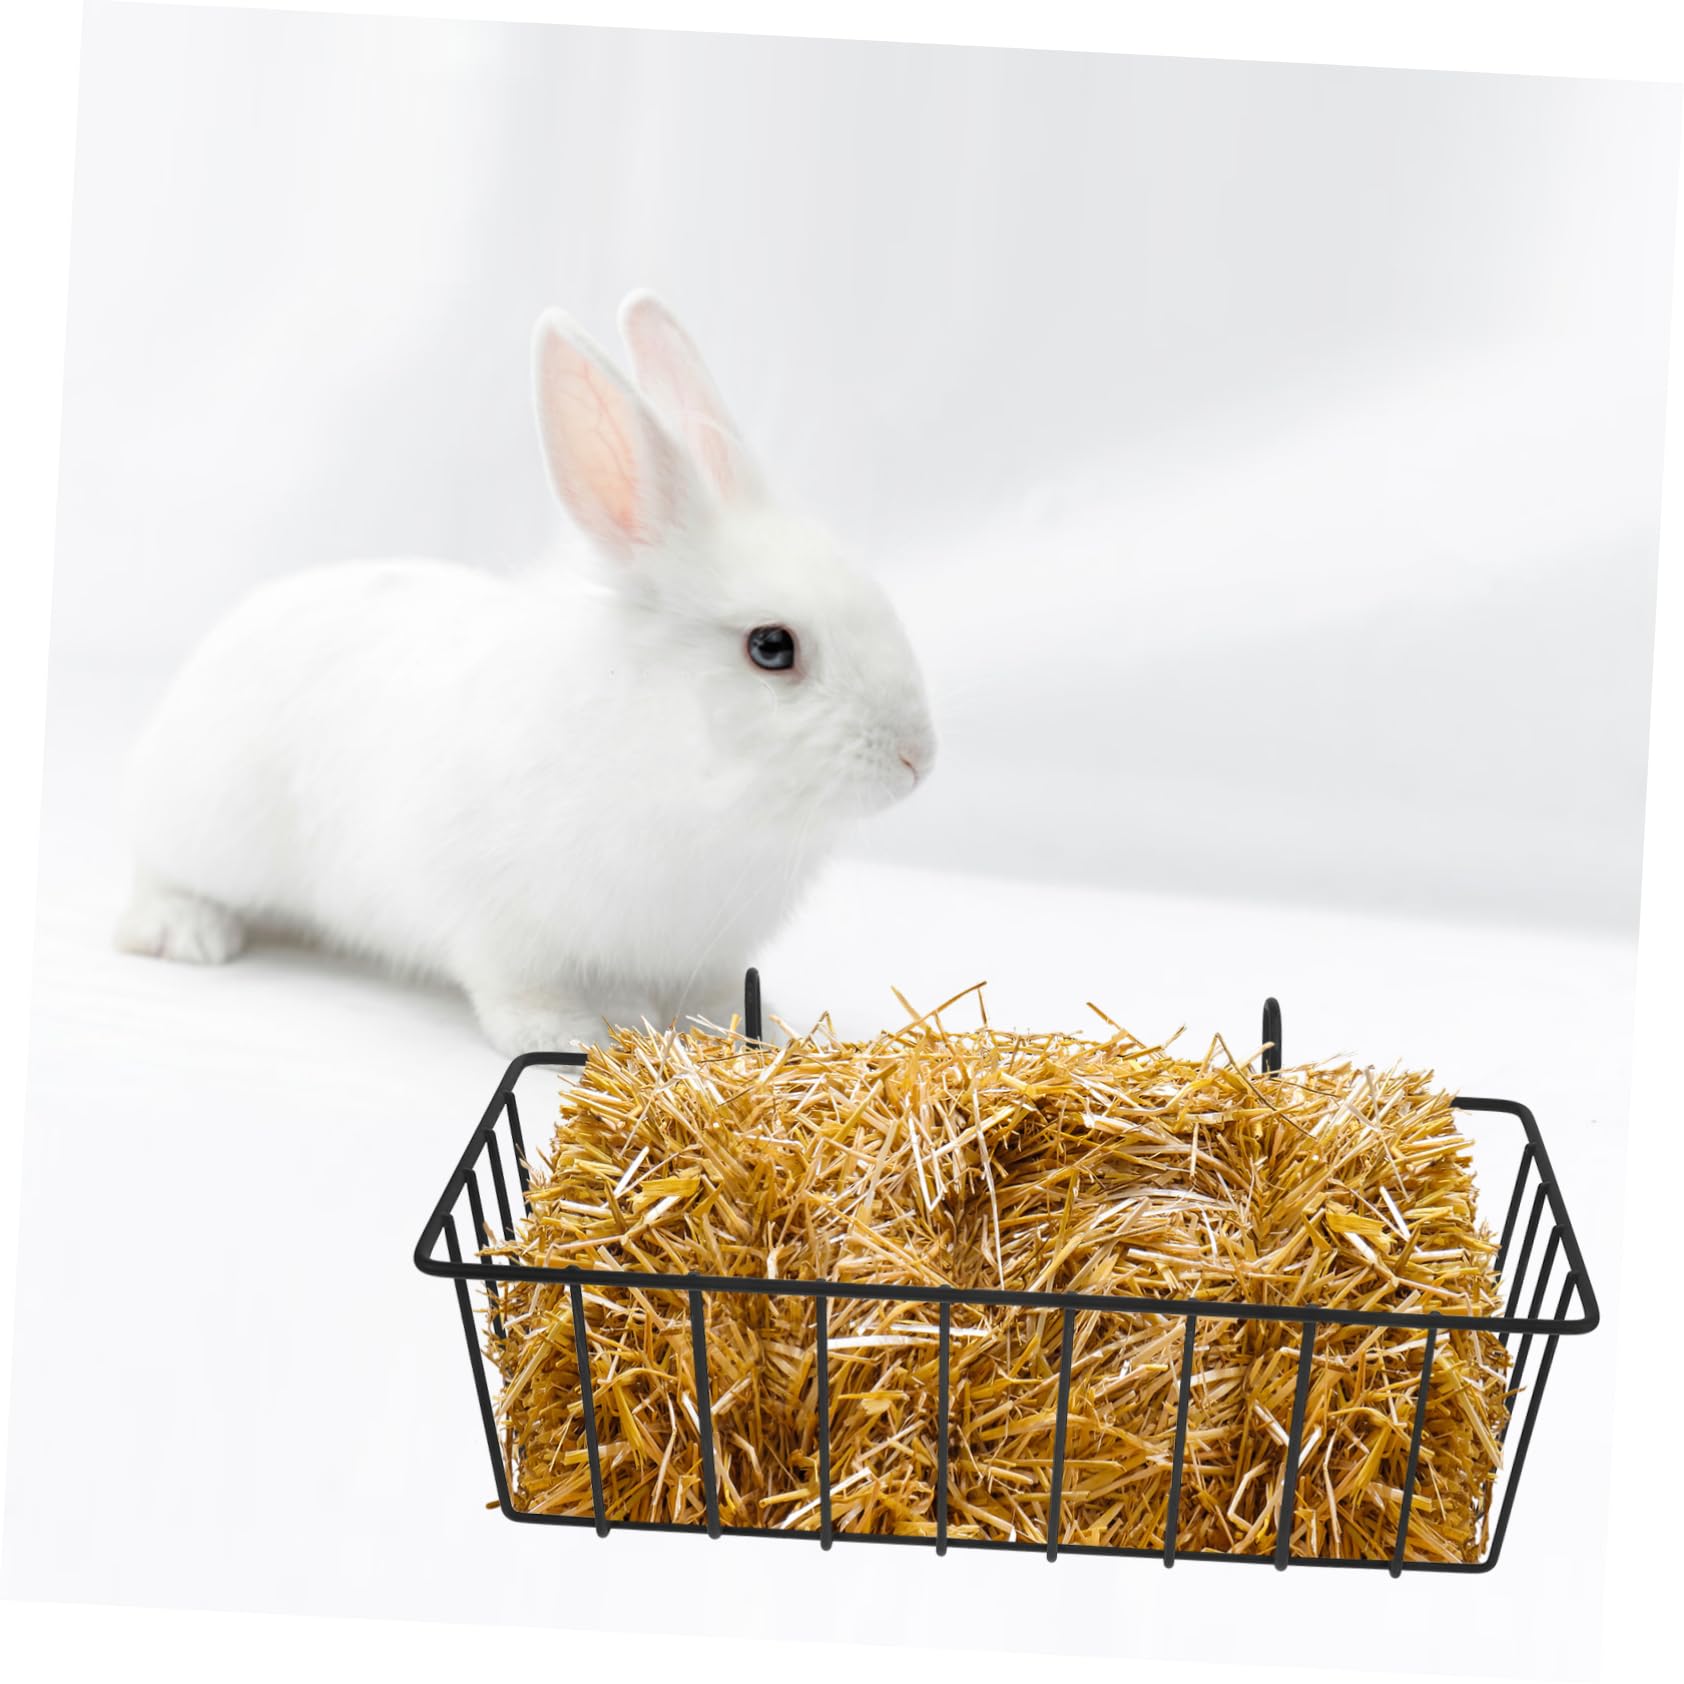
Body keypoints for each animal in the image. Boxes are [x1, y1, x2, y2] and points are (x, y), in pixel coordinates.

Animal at [115, 292, 936, 1054]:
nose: (918, 760)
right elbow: (520, 989)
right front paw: (566, 1038)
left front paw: (747, 1036)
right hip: (208, 831)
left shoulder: (710, 950)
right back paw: (185, 932)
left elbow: (715, 993)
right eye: (771, 647)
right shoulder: (499, 925)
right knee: (156, 873)